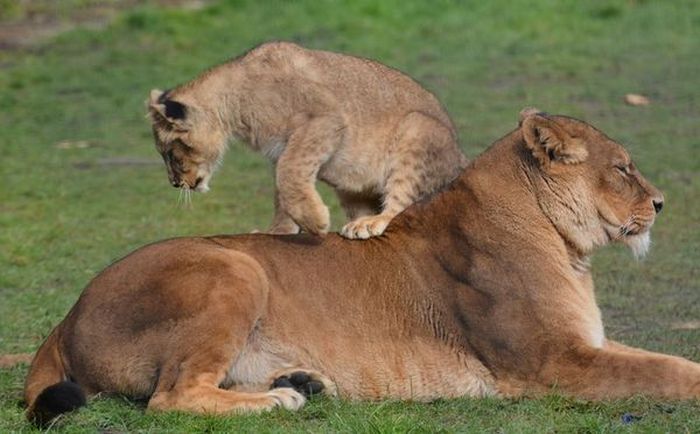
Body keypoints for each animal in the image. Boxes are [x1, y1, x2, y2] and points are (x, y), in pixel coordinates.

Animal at [24, 108, 696, 424]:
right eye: (624, 168)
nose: (663, 202)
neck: (565, 248)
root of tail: (66, 317)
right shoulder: (553, 363)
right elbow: (668, 372)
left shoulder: (586, 345)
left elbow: (668, 360)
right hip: (235, 269)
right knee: (171, 397)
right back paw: (280, 400)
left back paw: (300, 382)